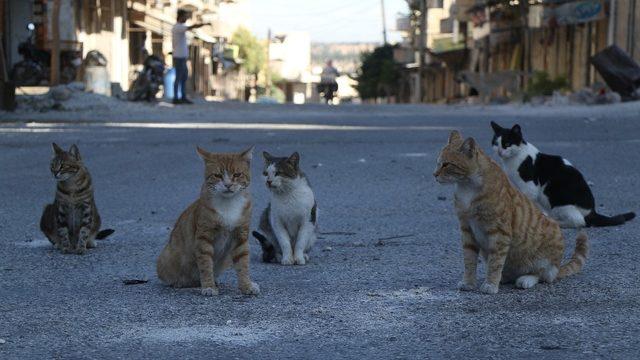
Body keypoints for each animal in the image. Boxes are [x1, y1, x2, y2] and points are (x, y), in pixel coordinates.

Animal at [156, 145, 258, 296]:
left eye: (237, 174)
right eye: (218, 175)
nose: (228, 185)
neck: (228, 204)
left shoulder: (241, 236)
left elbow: (243, 264)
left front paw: (247, 285)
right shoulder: (204, 237)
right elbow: (205, 265)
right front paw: (209, 286)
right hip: (167, 257)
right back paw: (181, 282)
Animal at [432, 131, 588, 294]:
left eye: (446, 164)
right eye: (438, 163)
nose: (434, 174)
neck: (467, 187)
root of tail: (558, 268)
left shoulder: (499, 232)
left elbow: (495, 262)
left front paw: (491, 284)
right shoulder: (467, 230)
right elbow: (469, 261)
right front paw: (469, 282)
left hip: (550, 243)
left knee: (543, 275)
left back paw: (525, 279)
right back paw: (504, 278)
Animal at [492, 121, 632, 228]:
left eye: (507, 144)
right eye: (495, 144)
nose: (499, 152)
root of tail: (592, 211)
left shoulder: (530, 187)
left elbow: (528, 203)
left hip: (560, 203)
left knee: (579, 222)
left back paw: (556, 222)